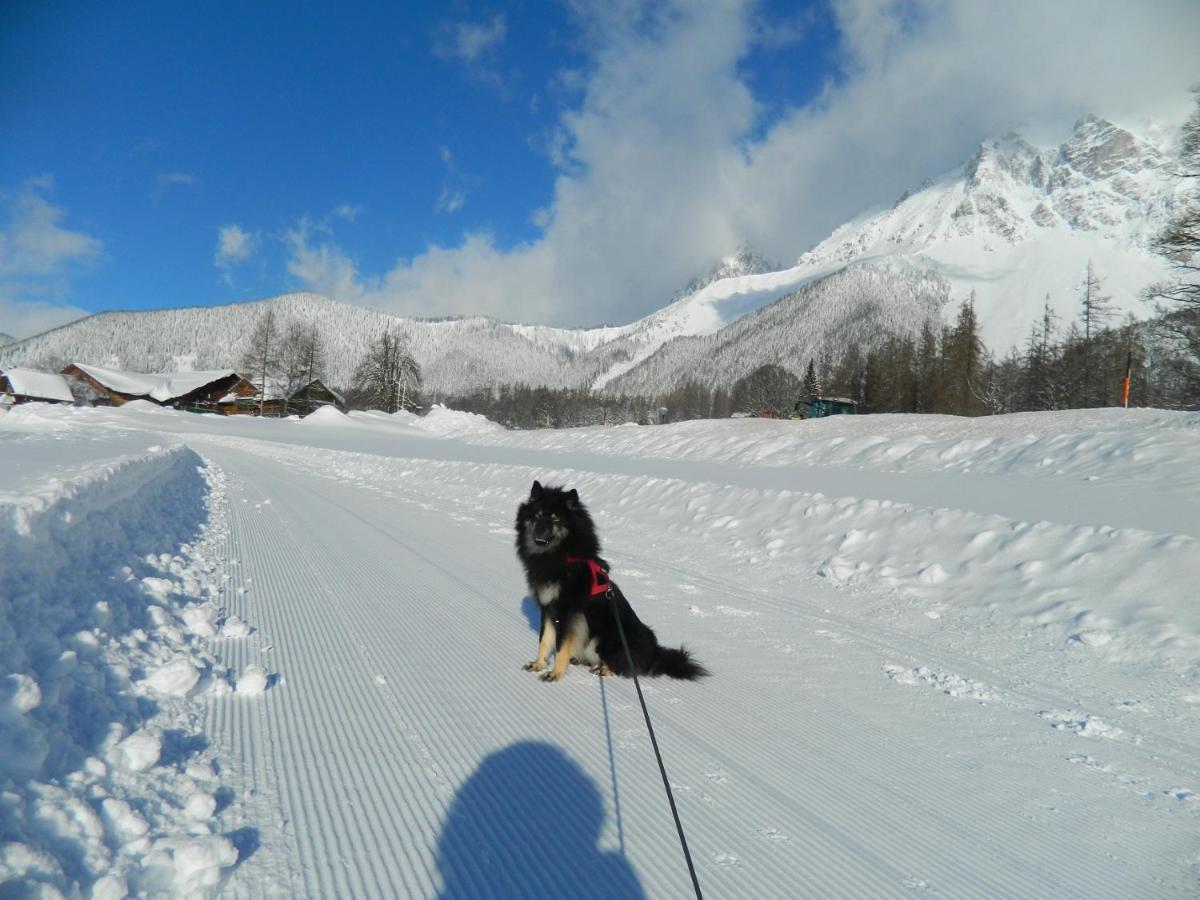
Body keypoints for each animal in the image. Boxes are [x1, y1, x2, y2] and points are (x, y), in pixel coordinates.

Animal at [513, 487, 700, 681]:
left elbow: (561, 646)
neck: (558, 556)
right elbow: (544, 640)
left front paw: (555, 673)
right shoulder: (548, 607)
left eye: (555, 518)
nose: (539, 530)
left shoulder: (567, 612)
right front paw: (539, 664)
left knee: (625, 665)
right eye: (537, 515)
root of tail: (654, 654)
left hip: (606, 637)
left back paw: (603, 668)